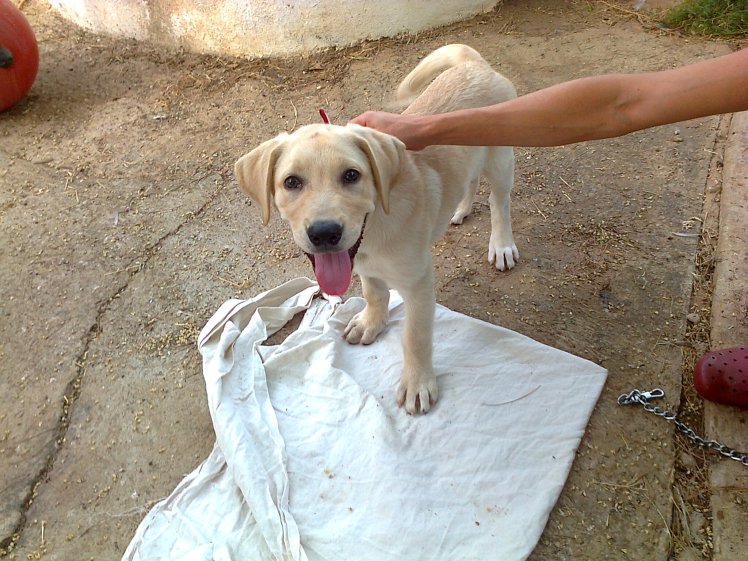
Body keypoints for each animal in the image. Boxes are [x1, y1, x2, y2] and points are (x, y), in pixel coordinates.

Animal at [235, 44, 518, 414]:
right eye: (292, 182)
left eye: (351, 176)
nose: (324, 233)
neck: (375, 230)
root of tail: (473, 64)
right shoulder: (363, 264)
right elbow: (374, 292)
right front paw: (371, 322)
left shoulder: (418, 281)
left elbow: (415, 336)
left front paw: (417, 383)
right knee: (469, 180)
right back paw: (460, 208)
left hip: (500, 159)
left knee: (500, 204)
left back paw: (501, 245)